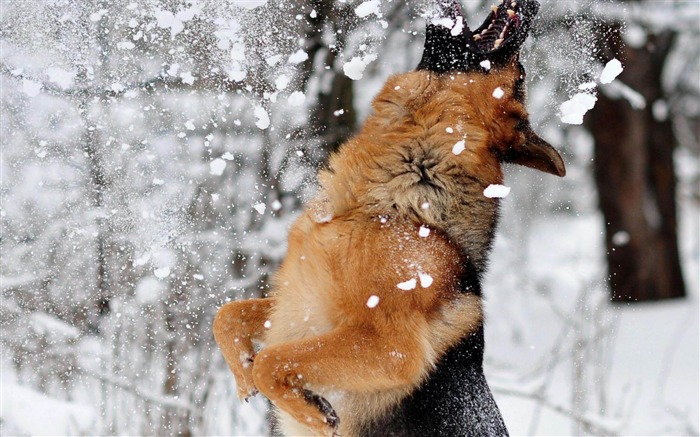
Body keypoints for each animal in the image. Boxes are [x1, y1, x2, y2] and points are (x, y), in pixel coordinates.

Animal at [212, 1, 564, 434]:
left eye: (521, 75)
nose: (535, 5)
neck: (395, 206)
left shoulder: (391, 348)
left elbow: (271, 360)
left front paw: (311, 413)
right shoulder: (296, 304)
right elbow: (227, 316)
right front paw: (243, 373)